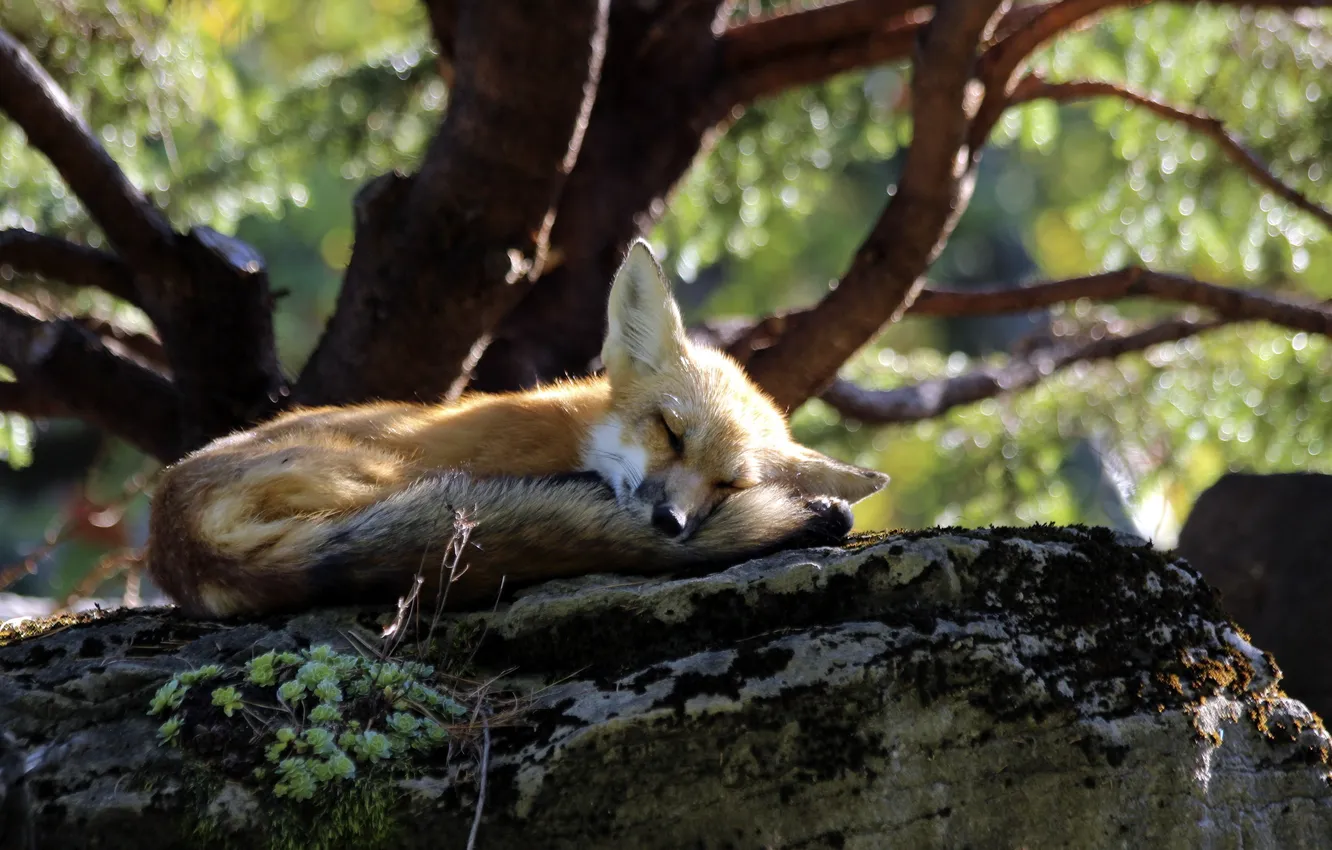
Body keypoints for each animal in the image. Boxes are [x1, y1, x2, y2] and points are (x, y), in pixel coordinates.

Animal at [148, 239, 884, 618]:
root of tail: (176, 539)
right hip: (389, 470)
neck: (572, 429)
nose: (671, 524)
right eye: (671, 432)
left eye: (729, 484)